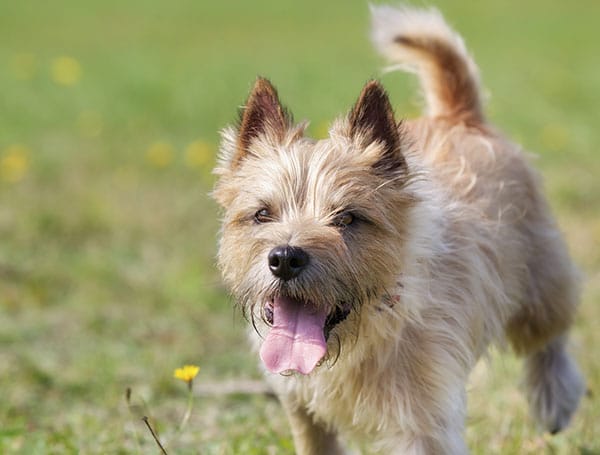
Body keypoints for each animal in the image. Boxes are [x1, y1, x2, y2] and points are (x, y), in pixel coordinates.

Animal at [210, 5, 580, 454]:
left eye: (347, 218)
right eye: (263, 214)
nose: (284, 257)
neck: (362, 334)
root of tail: (457, 116)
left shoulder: (423, 422)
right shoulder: (302, 406)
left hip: (540, 283)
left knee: (551, 336)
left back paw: (555, 399)